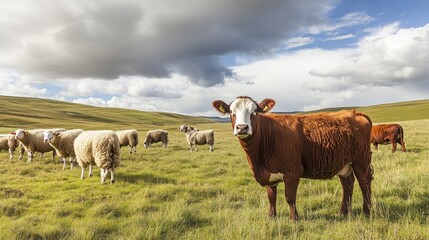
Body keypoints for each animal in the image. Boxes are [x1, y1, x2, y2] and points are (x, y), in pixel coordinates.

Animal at [212, 96, 372, 220]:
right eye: (231, 112)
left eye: (254, 112)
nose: (242, 127)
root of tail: (354, 112)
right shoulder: (268, 174)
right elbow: (271, 197)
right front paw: (272, 216)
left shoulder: (292, 172)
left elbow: (289, 197)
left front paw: (294, 219)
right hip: (344, 163)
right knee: (348, 184)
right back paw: (343, 212)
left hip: (361, 160)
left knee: (364, 182)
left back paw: (367, 211)